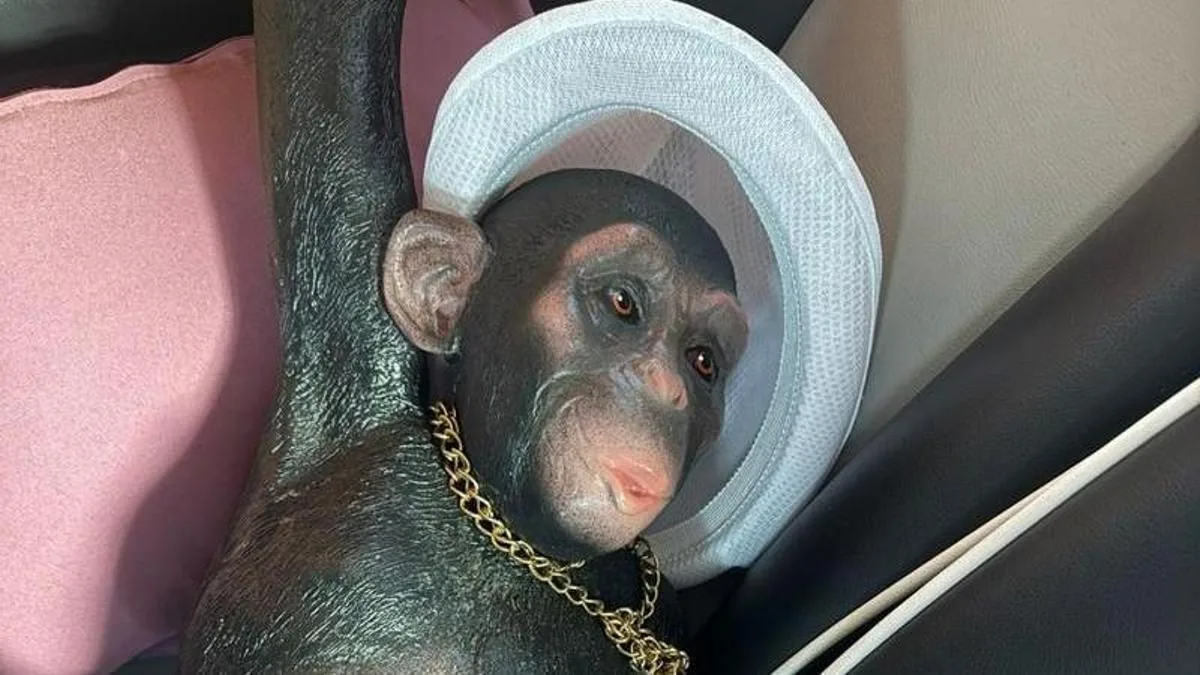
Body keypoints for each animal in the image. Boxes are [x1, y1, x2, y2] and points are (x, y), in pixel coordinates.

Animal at [179, 0, 748, 672]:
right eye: (622, 304)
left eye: (703, 362)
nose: (667, 389)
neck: (518, 540)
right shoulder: (351, 368)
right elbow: (329, 82)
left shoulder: (666, 612)